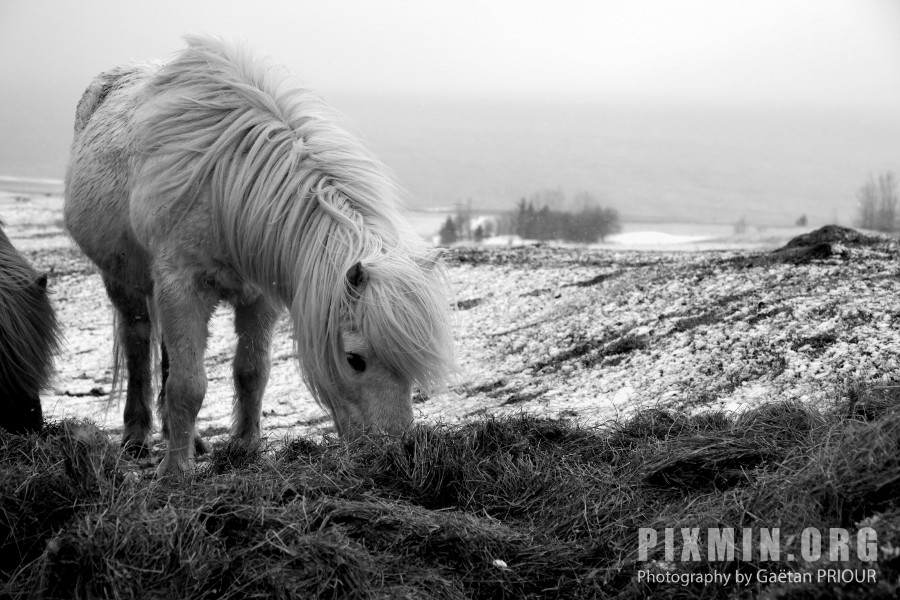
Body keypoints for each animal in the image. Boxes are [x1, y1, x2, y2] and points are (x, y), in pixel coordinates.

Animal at [65, 36, 458, 478]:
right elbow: (189, 385)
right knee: (137, 344)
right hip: (123, 281)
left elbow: (251, 371)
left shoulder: (259, 296)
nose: (393, 453)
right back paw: (136, 437)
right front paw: (175, 472)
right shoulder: (182, 287)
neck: (228, 187)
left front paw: (246, 447)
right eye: (354, 359)